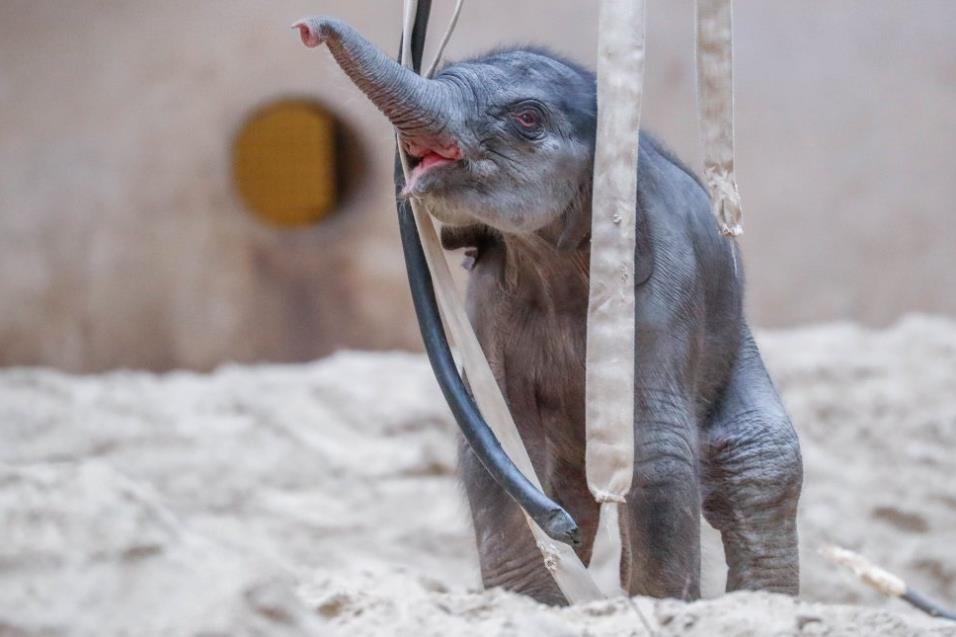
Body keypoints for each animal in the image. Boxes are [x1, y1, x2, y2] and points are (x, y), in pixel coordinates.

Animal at [296, 13, 804, 600]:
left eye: (527, 118)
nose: (310, 27)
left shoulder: (665, 290)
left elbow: (656, 453)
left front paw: (655, 605)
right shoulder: (489, 301)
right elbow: (503, 442)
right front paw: (536, 601)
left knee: (763, 467)